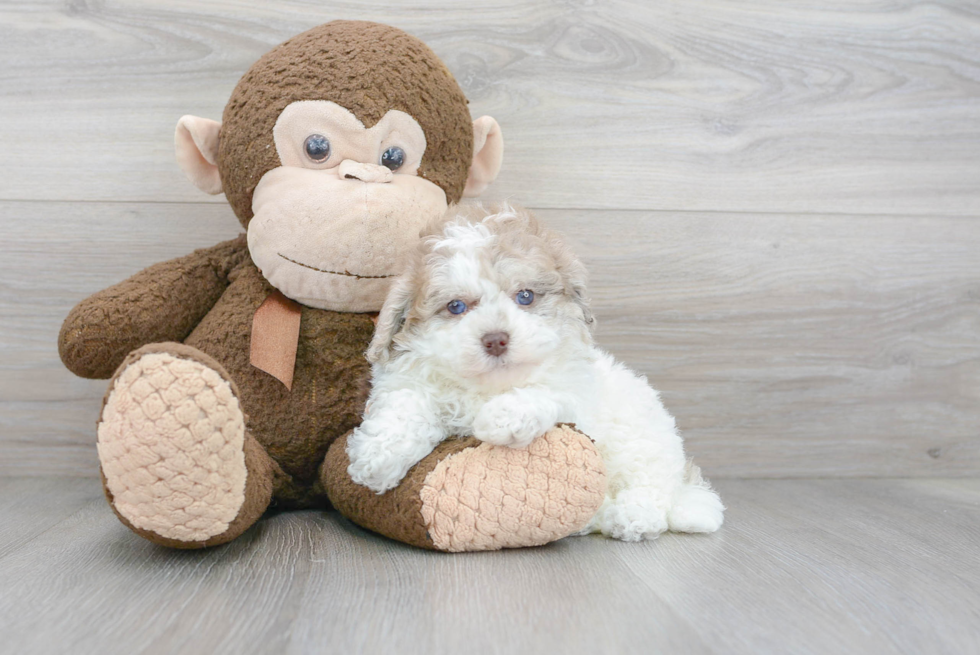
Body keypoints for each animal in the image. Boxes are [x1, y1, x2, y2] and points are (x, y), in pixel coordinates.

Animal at [348, 206, 724, 544]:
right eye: (456, 306)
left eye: (525, 296)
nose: (496, 339)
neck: (489, 386)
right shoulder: (407, 380)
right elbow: (405, 403)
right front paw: (377, 457)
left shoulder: (575, 390)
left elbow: (545, 392)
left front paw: (503, 417)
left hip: (643, 439)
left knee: (652, 486)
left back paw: (633, 516)